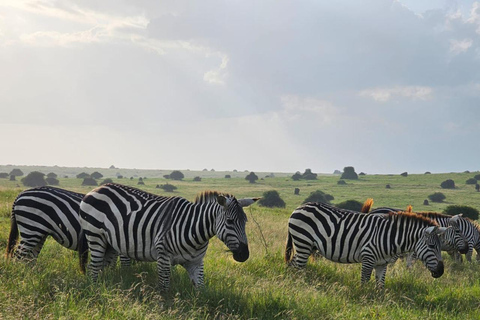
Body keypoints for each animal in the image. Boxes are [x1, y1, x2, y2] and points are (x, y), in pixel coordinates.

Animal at [79, 182, 258, 290]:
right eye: (229, 221)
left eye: (245, 222)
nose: (244, 255)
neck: (195, 230)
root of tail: (96, 188)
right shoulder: (163, 257)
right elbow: (164, 288)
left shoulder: (196, 262)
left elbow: (201, 290)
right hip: (95, 236)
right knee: (93, 268)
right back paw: (95, 291)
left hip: (109, 243)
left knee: (102, 268)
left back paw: (105, 287)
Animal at [284, 202, 446, 288]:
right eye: (432, 247)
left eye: (440, 247)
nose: (441, 272)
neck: (389, 237)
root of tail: (300, 206)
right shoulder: (368, 258)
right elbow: (364, 282)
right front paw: (364, 301)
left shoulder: (382, 264)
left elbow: (380, 285)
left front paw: (380, 302)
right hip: (303, 242)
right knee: (298, 267)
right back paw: (298, 286)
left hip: (307, 246)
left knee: (292, 264)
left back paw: (291, 283)